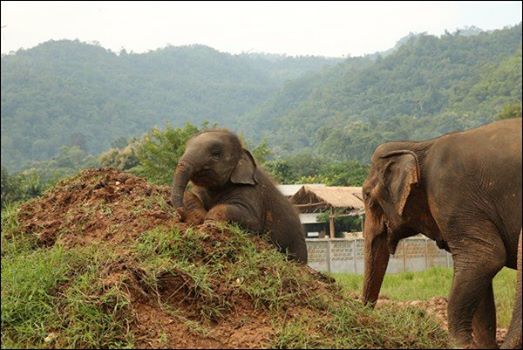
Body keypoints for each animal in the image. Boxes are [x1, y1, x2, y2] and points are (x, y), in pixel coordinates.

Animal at [170, 128, 310, 262]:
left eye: (216, 154)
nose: (179, 212)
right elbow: (191, 195)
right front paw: (197, 219)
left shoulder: (251, 192)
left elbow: (251, 219)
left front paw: (209, 224)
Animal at [362, 119, 520, 348]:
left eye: (367, 196)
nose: (367, 316)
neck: (420, 144)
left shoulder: (451, 193)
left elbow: (485, 257)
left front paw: (459, 343)